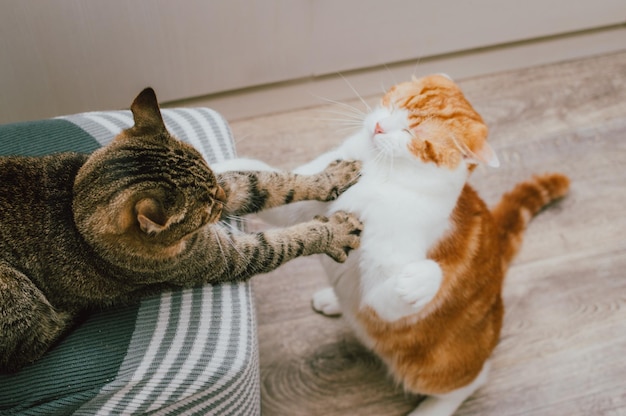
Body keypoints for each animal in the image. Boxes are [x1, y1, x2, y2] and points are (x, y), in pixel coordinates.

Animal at [0, 88, 360, 374]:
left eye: (214, 185)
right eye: (206, 208)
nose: (222, 198)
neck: (74, 208)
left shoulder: (230, 185)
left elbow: (268, 182)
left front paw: (329, 178)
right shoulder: (228, 257)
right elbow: (285, 242)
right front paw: (334, 232)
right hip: (17, 290)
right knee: (28, 349)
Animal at [217, 75, 568, 416]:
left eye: (412, 132)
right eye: (395, 104)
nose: (379, 127)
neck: (381, 173)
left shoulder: (381, 295)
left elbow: (397, 292)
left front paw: (422, 280)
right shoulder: (302, 204)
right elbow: (269, 182)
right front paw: (216, 173)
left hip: (432, 370)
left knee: (475, 380)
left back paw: (431, 409)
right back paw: (333, 299)